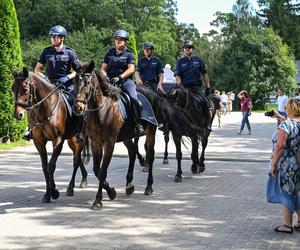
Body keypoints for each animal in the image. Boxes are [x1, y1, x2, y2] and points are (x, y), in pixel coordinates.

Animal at [12, 67, 88, 203]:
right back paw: (83, 180)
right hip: (71, 140)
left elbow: (51, 166)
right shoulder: (39, 142)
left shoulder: (57, 141)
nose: (18, 114)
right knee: (77, 158)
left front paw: (54, 192)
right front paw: (47, 194)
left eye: (25, 89)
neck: (44, 108)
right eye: (12, 88)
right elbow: (44, 167)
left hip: (80, 140)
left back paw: (71, 187)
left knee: (76, 160)